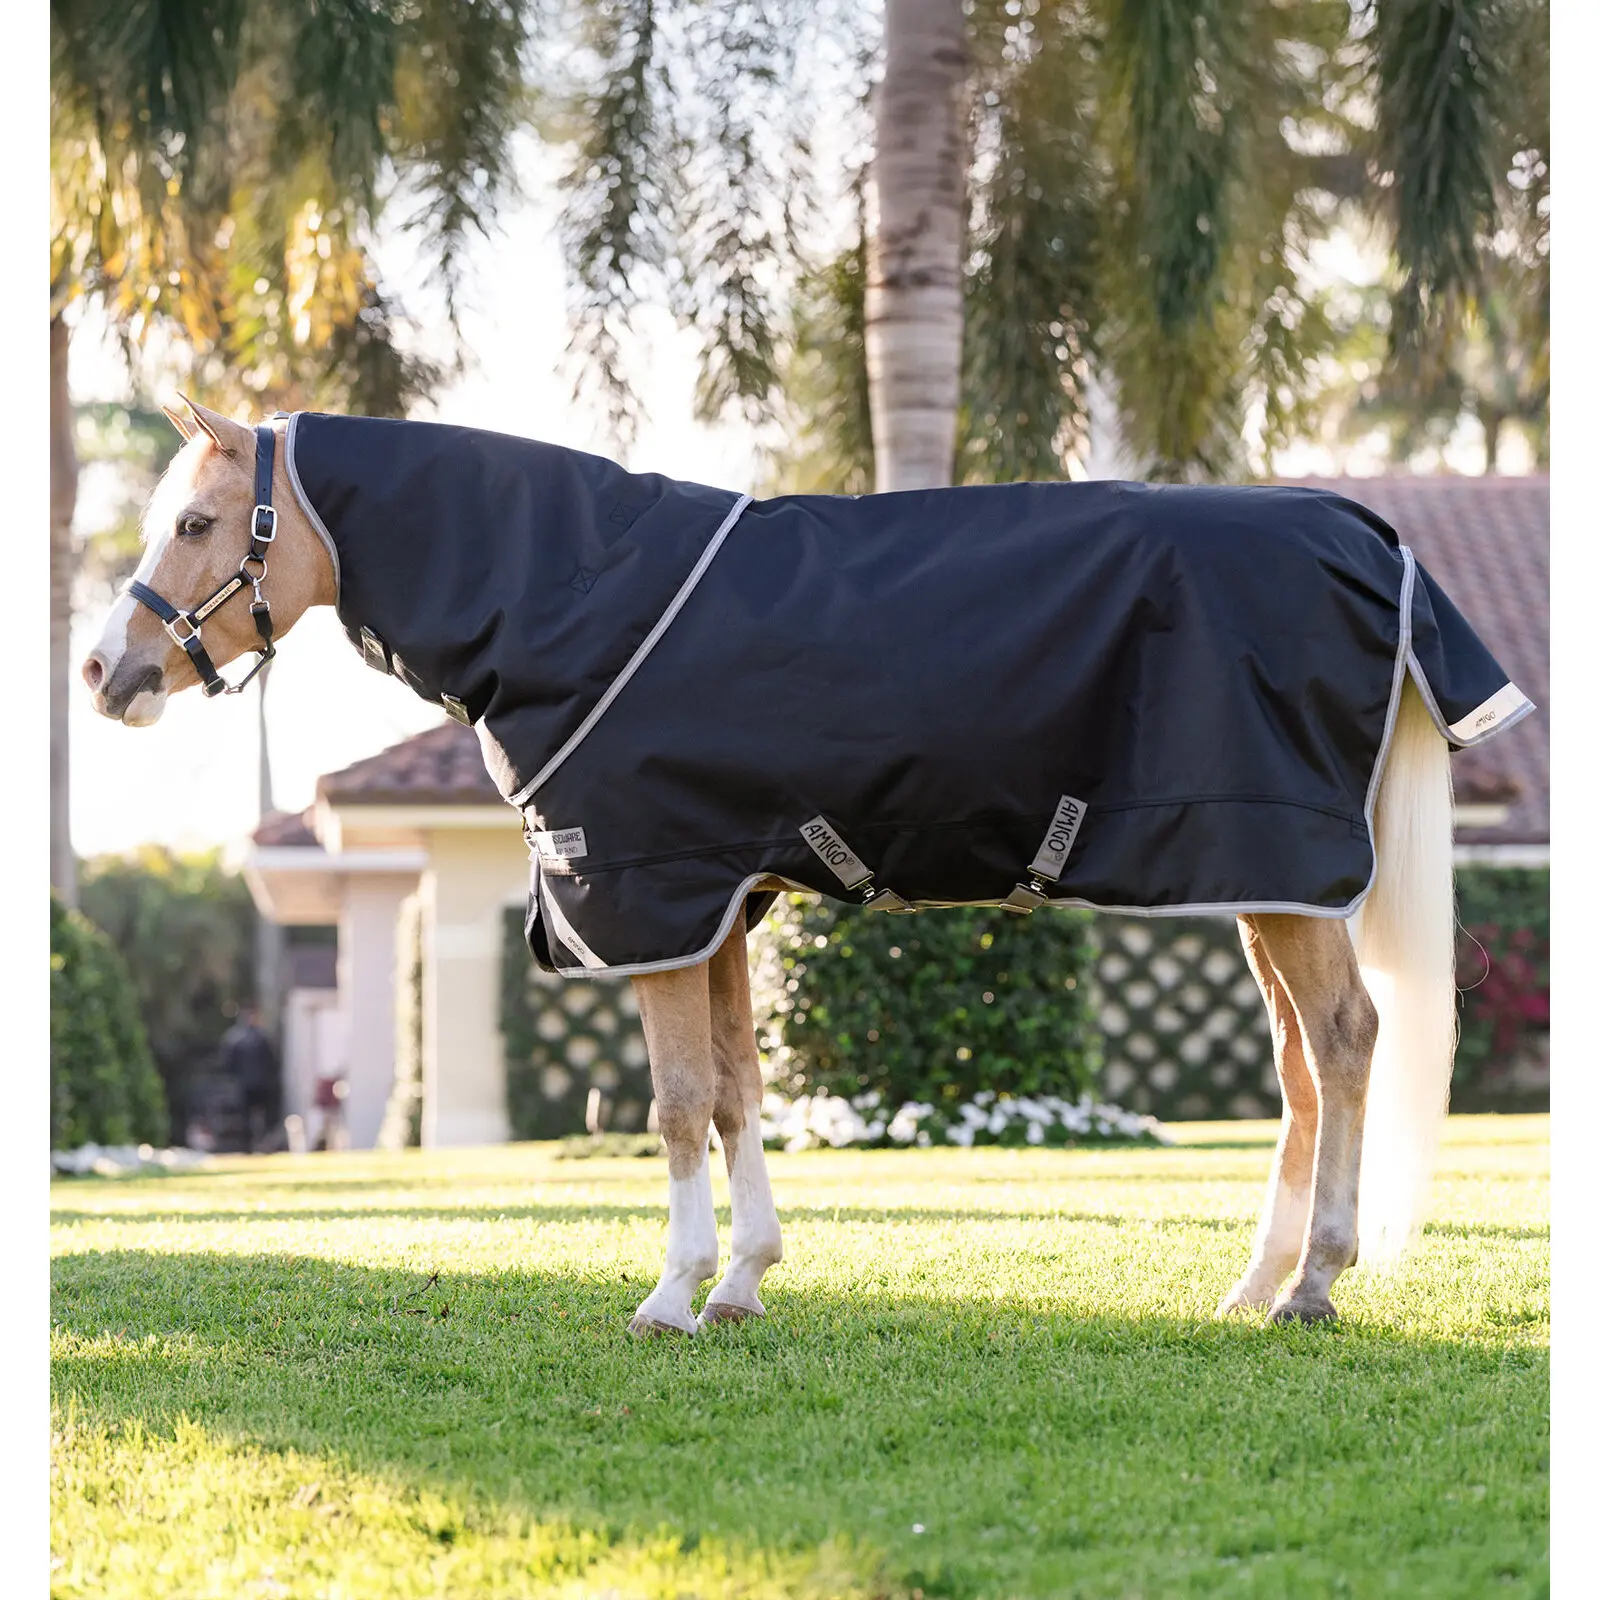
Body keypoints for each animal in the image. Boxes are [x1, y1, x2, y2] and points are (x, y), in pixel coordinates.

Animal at [84, 396, 1489, 1332]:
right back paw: (1253, 1283)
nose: (105, 671)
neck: (568, 597)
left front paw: (670, 1293)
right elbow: (738, 1090)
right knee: (1300, 1066)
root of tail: (1368, 538)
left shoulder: (652, 893)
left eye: (200, 521)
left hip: (1283, 868)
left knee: (1348, 1040)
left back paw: (1314, 1283)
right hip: (1263, 880)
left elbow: (673, 1103)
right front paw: (744, 1279)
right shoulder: (719, 901)